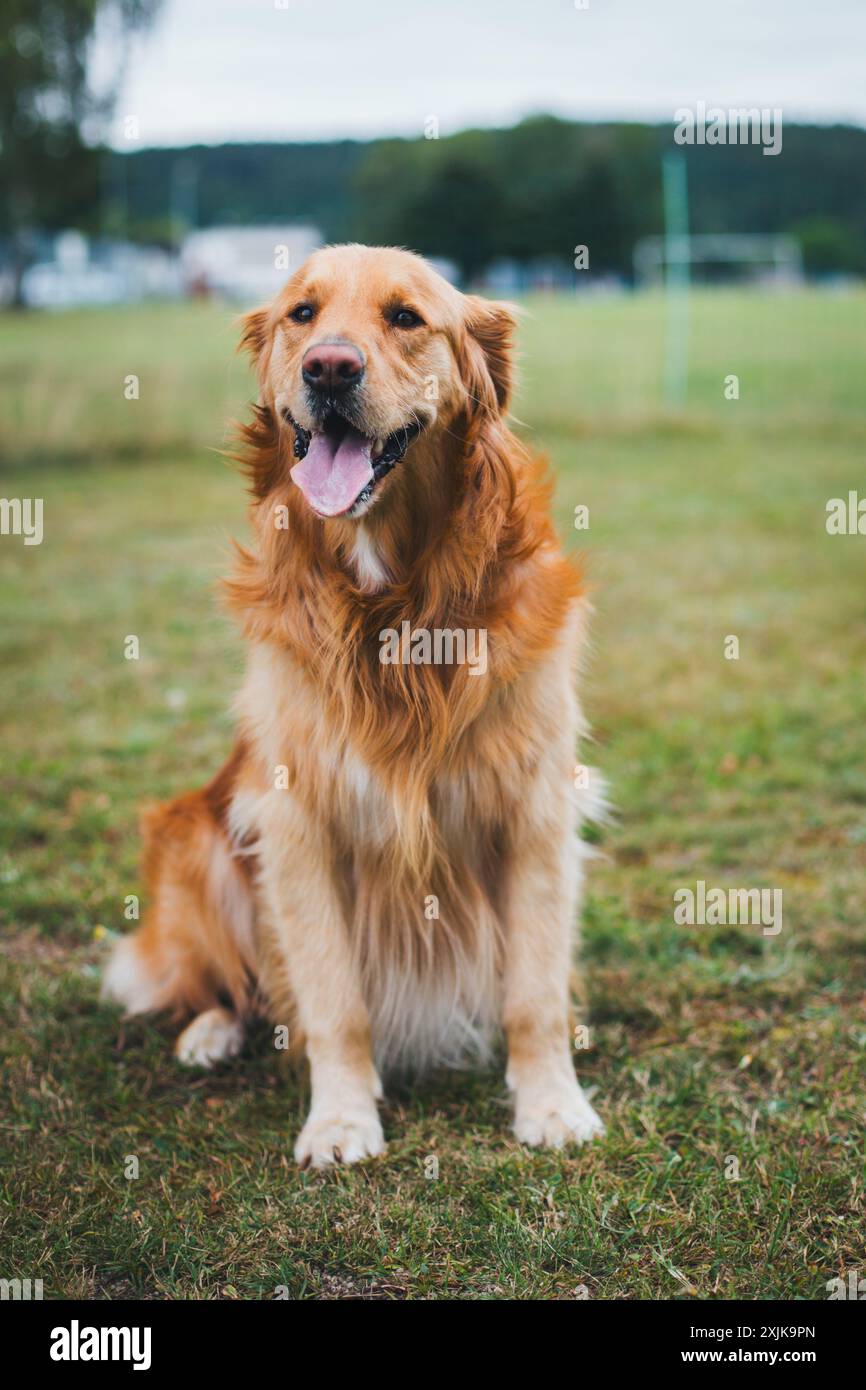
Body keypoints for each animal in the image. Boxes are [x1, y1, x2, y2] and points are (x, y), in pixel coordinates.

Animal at [103, 244, 603, 1167]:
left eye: (405, 317)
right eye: (302, 314)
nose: (329, 368)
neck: (394, 600)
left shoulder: (535, 811)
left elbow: (536, 994)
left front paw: (552, 1105)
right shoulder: (298, 825)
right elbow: (335, 1003)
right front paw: (340, 1119)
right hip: (197, 841)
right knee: (222, 985)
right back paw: (210, 1033)